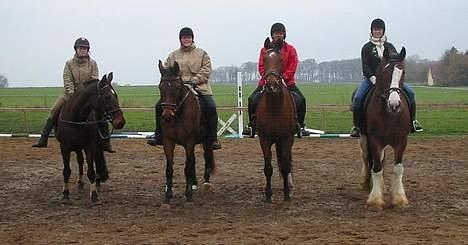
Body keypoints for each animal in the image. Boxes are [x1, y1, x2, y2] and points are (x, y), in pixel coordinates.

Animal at [157, 59, 216, 205]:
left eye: (177, 87)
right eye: (160, 87)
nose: (167, 115)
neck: (178, 114)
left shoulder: (189, 142)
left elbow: (187, 167)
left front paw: (188, 194)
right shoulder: (168, 142)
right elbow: (169, 169)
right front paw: (168, 195)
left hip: (206, 141)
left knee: (206, 157)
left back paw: (205, 183)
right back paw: (193, 183)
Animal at [358, 47, 410, 210]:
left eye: (403, 72)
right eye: (384, 72)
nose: (394, 104)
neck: (390, 114)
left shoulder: (401, 141)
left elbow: (398, 168)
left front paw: (399, 198)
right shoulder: (375, 140)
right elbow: (376, 168)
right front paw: (375, 200)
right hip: (364, 139)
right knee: (367, 159)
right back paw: (367, 183)